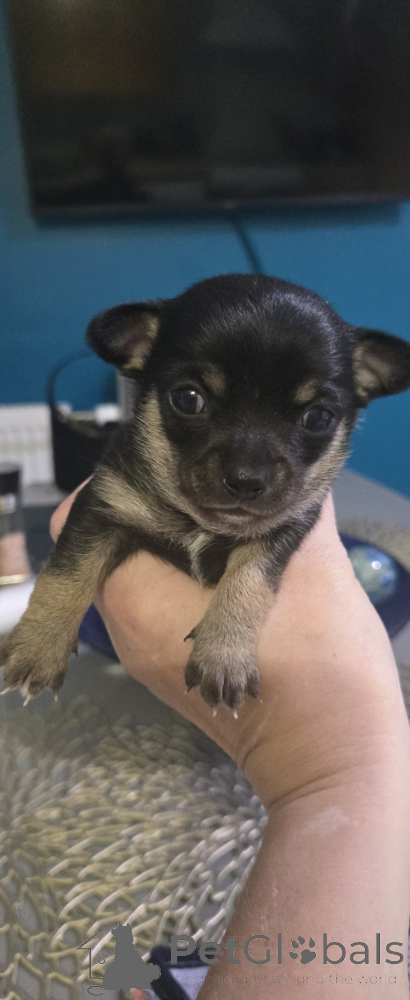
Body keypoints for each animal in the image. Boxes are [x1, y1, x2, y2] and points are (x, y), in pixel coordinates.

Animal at [1, 273, 410, 713]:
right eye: (187, 399)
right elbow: (65, 575)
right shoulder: (101, 506)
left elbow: (248, 581)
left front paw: (224, 656)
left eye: (318, 418)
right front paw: (37, 648)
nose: (246, 479)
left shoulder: (281, 532)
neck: (199, 521)